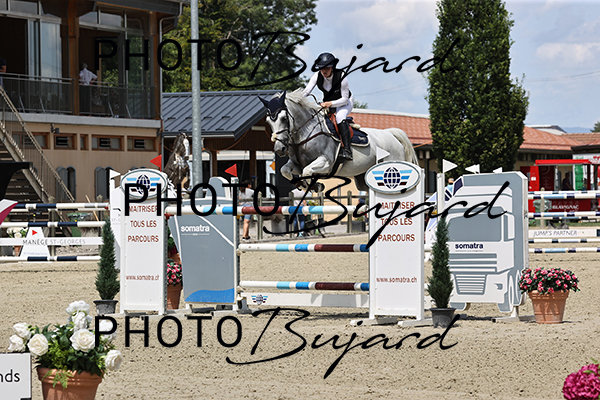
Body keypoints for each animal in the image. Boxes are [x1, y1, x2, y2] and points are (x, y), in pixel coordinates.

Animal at [259, 89, 418, 191]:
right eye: (268, 121)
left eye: (284, 118)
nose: (279, 149)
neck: (306, 133)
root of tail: (391, 134)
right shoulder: (297, 163)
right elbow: (285, 170)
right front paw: (304, 185)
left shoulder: (326, 163)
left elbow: (307, 171)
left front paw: (315, 186)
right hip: (363, 179)